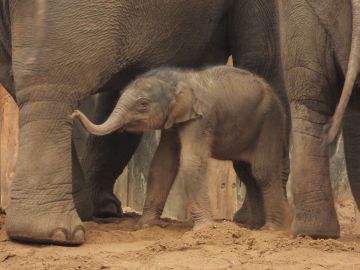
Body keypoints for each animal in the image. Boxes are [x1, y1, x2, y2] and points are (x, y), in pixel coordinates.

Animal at [73, 66, 290, 231]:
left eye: (143, 104)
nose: (74, 113)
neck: (180, 80)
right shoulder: (174, 122)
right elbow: (162, 163)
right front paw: (145, 225)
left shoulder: (200, 120)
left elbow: (191, 161)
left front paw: (204, 229)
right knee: (246, 173)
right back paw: (253, 226)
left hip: (270, 122)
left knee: (262, 171)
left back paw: (270, 229)